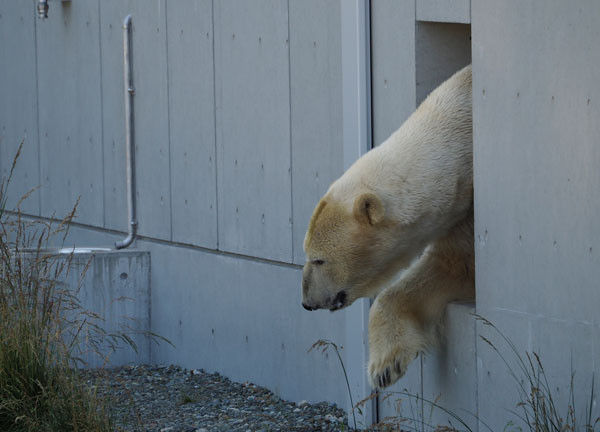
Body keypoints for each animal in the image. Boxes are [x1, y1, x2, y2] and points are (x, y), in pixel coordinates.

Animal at [300, 66, 474, 390]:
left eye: (319, 259)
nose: (307, 303)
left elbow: (460, 266)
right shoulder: (458, 212)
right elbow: (448, 266)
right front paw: (385, 366)